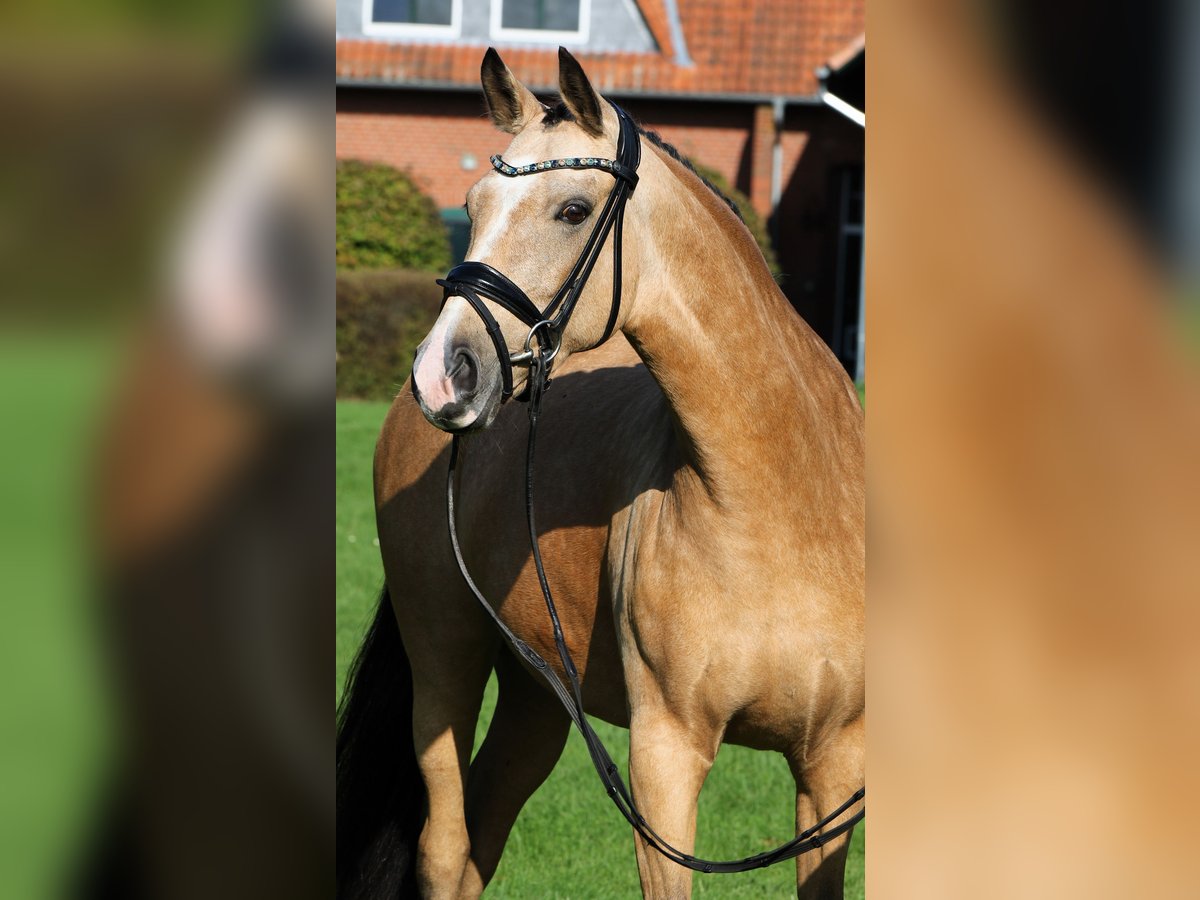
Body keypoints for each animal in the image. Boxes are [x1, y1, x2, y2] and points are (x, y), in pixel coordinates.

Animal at [338, 47, 864, 900]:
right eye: (473, 205)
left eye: (574, 210)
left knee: (482, 836)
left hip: (538, 696)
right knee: (445, 848)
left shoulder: (833, 766)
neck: (783, 503)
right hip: (444, 658)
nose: (442, 372)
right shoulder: (665, 758)